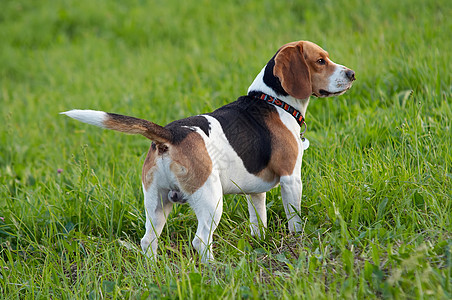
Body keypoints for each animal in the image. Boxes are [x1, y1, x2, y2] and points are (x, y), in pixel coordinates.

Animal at [61, 40, 354, 262]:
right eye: (320, 61)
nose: (351, 74)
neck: (273, 100)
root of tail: (169, 135)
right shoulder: (291, 179)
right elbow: (294, 219)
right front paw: (298, 242)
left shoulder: (255, 192)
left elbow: (258, 219)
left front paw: (260, 241)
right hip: (211, 199)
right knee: (200, 241)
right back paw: (214, 268)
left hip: (156, 202)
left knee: (148, 240)